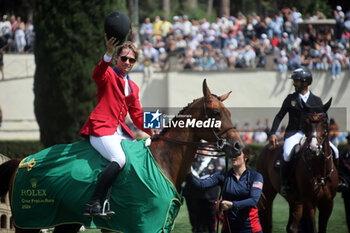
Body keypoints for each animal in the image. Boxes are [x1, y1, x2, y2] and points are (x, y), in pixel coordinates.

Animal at [0, 79, 243, 232]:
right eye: (216, 113)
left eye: (230, 113)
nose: (238, 146)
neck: (161, 161)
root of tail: (24, 161)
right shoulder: (144, 224)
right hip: (28, 222)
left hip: (65, 221)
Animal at [258, 98, 340, 233]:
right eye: (307, 121)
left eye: (324, 121)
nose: (313, 148)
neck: (321, 171)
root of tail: (267, 147)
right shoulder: (309, 202)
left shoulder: (328, 203)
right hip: (267, 192)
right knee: (266, 221)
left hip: (294, 200)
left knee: (292, 226)